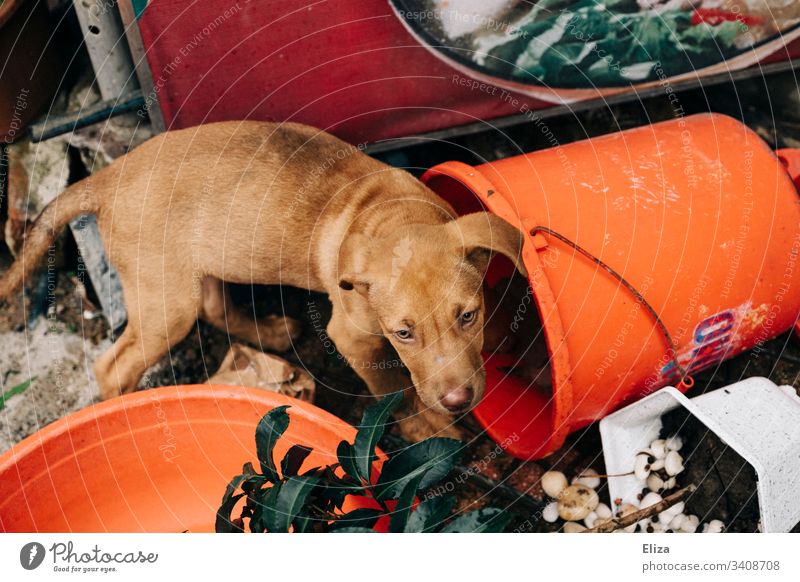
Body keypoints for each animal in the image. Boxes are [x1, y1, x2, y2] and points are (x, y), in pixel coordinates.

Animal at [1, 123, 524, 442]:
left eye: (469, 316)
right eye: (403, 333)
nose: (458, 400)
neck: (392, 214)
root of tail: (108, 177)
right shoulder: (351, 337)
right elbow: (393, 387)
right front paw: (428, 428)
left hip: (206, 261)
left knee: (215, 308)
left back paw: (272, 333)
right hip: (166, 301)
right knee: (113, 367)